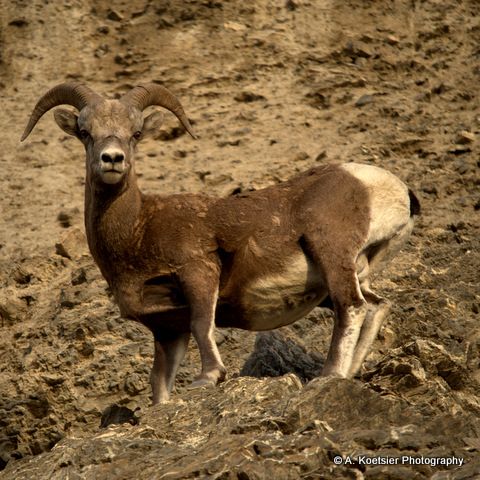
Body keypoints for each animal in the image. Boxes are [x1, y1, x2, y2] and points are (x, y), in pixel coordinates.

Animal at [22, 82, 420, 404]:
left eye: (135, 134)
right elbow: (159, 382)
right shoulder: (167, 330)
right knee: (376, 305)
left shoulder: (198, 274)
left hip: (332, 254)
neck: (137, 230)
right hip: (349, 274)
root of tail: (392, 188)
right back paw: (349, 373)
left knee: (351, 307)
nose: (112, 160)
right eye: (85, 132)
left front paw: (208, 378)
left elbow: (203, 325)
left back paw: (330, 375)